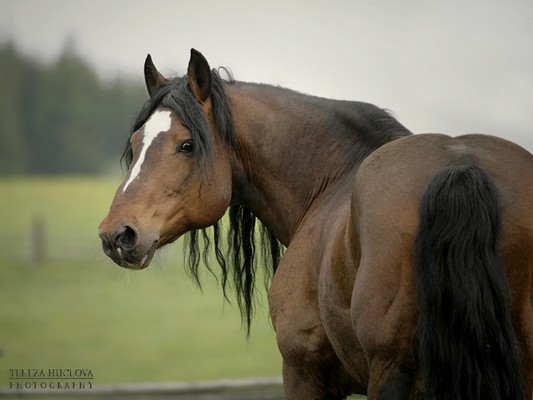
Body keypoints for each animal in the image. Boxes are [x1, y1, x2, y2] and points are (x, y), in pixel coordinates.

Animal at [97, 48, 528, 398]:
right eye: (134, 145)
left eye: (186, 145)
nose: (116, 234)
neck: (331, 181)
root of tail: (460, 167)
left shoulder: (303, 370)